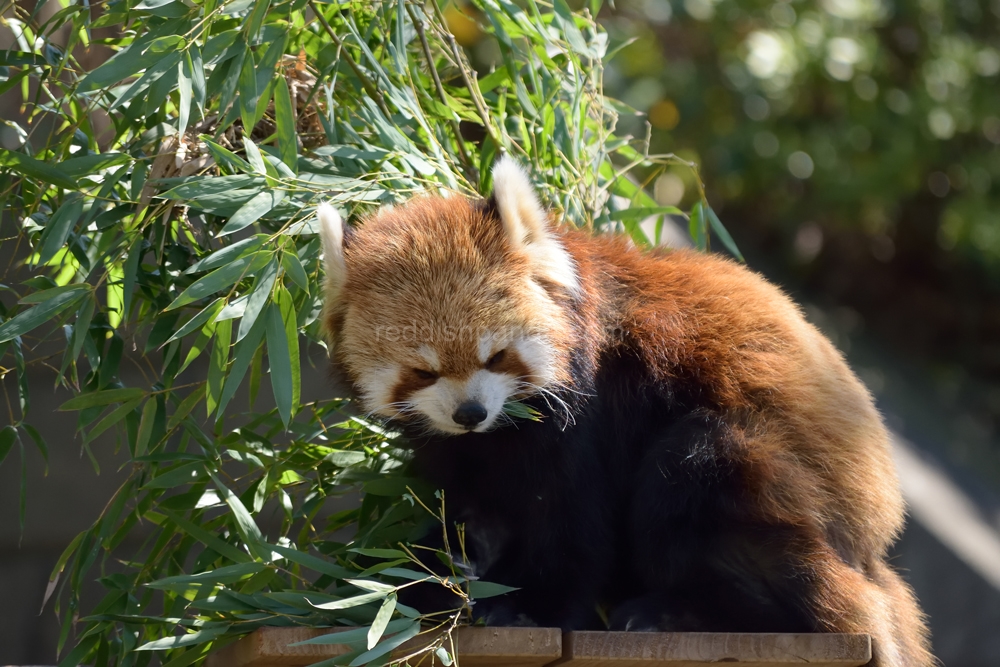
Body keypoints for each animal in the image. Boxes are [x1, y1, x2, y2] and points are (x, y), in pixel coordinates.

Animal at [322, 158, 936, 667]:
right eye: (422, 372)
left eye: (494, 355)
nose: (470, 412)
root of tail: (871, 552)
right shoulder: (468, 450)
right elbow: (478, 508)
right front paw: (428, 576)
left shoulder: (590, 411)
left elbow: (573, 522)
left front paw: (526, 605)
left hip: (773, 487)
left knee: (699, 467)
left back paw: (677, 612)